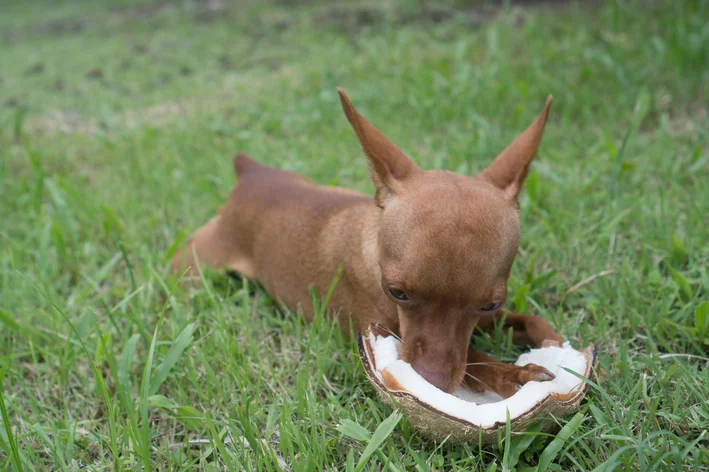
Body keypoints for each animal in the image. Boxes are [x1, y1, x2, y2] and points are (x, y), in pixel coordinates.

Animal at [173, 89, 564, 398]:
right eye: (397, 293)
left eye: (490, 304)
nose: (431, 381)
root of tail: (249, 174)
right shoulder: (387, 333)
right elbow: (476, 361)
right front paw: (513, 374)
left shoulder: (489, 319)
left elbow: (530, 322)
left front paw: (553, 343)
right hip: (192, 269)